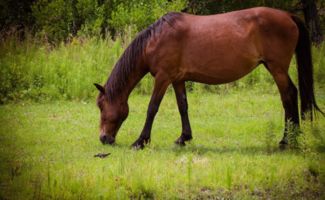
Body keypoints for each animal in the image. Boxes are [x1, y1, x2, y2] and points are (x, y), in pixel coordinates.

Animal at [93, 6, 322, 148]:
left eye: (101, 106)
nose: (103, 138)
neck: (156, 39)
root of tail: (288, 16)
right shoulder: (177, 79)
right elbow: (183, 106)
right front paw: (184, 138)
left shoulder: (163, 77)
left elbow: (152, 108)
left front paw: (140, 141)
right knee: (291, 94)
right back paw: (293, 137)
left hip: (277, 68)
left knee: (289, 96)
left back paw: (287, 140)